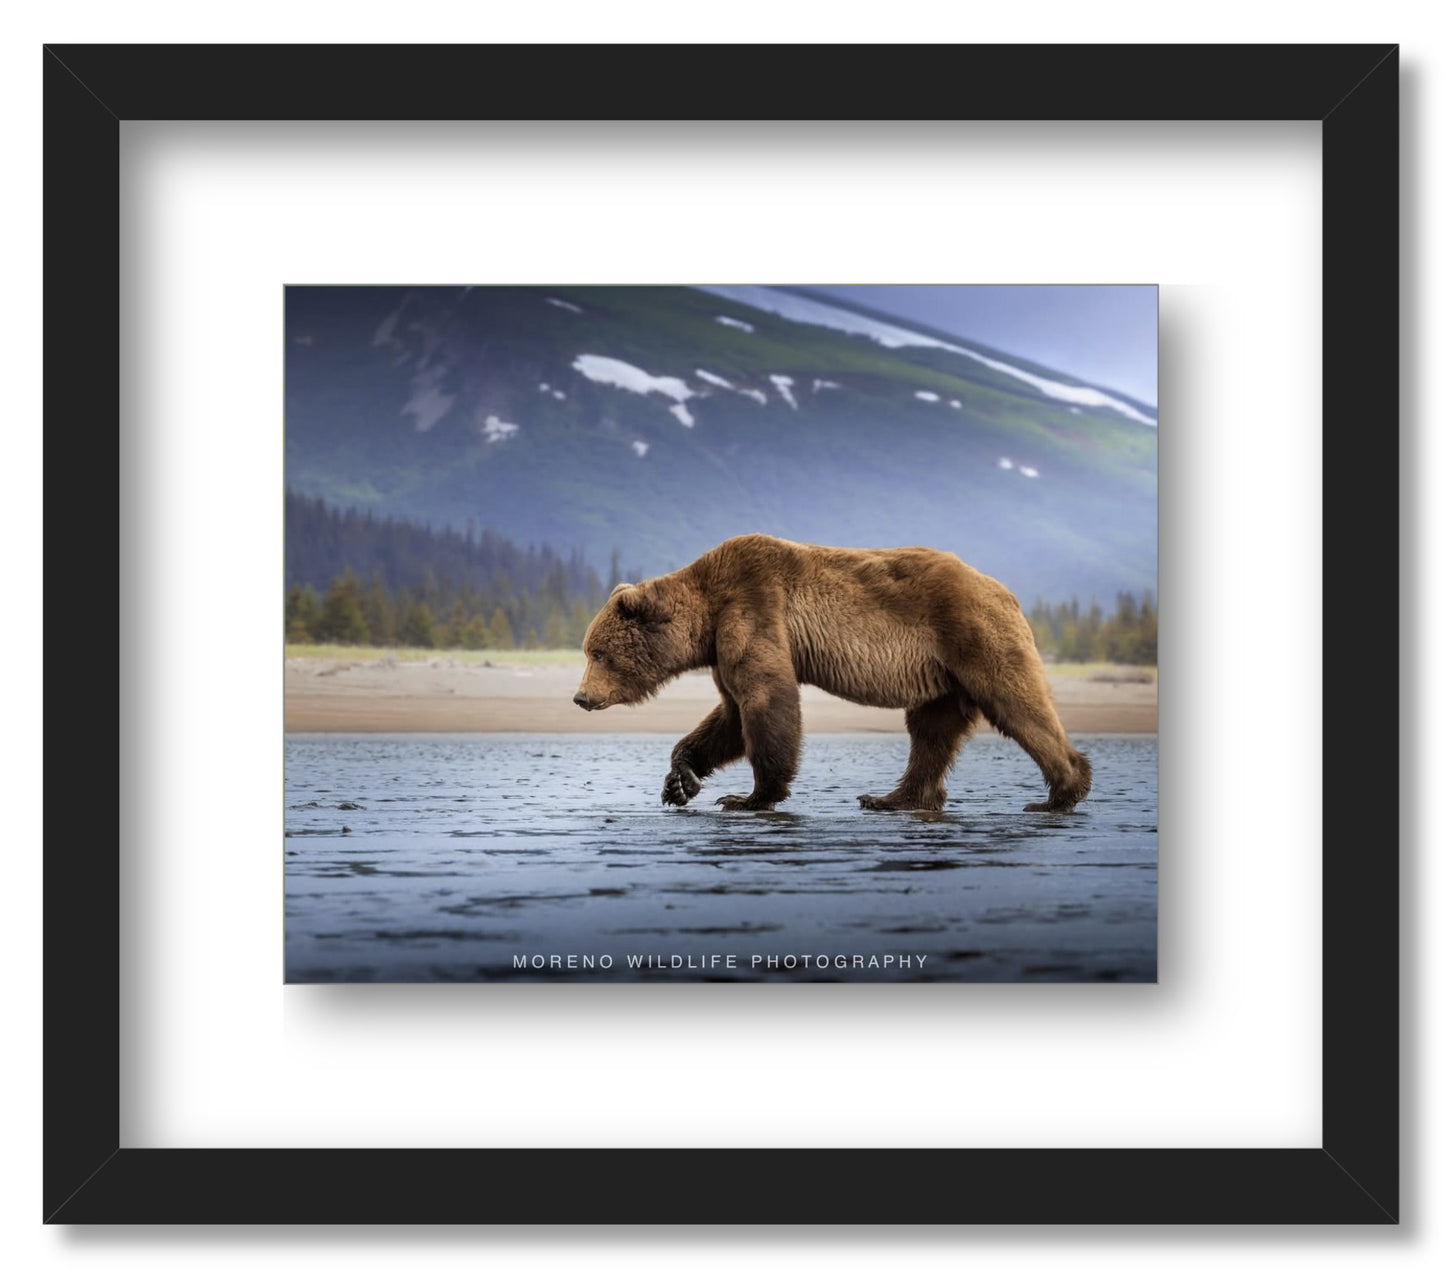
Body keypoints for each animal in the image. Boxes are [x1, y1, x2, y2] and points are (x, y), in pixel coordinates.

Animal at [572, 533, 1092, 814]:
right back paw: (892, 798)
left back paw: (1061, 792)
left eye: (597, 652)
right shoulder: (723, 644)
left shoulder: (752, 606)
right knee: (931, 732)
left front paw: (750, 796)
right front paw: (680, 781)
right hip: (943, 675)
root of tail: (1006, 591)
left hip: (973, 636)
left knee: (1016, 704)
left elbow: (765, 699)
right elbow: (730, 715)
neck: (706, 613)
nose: (580, 698)